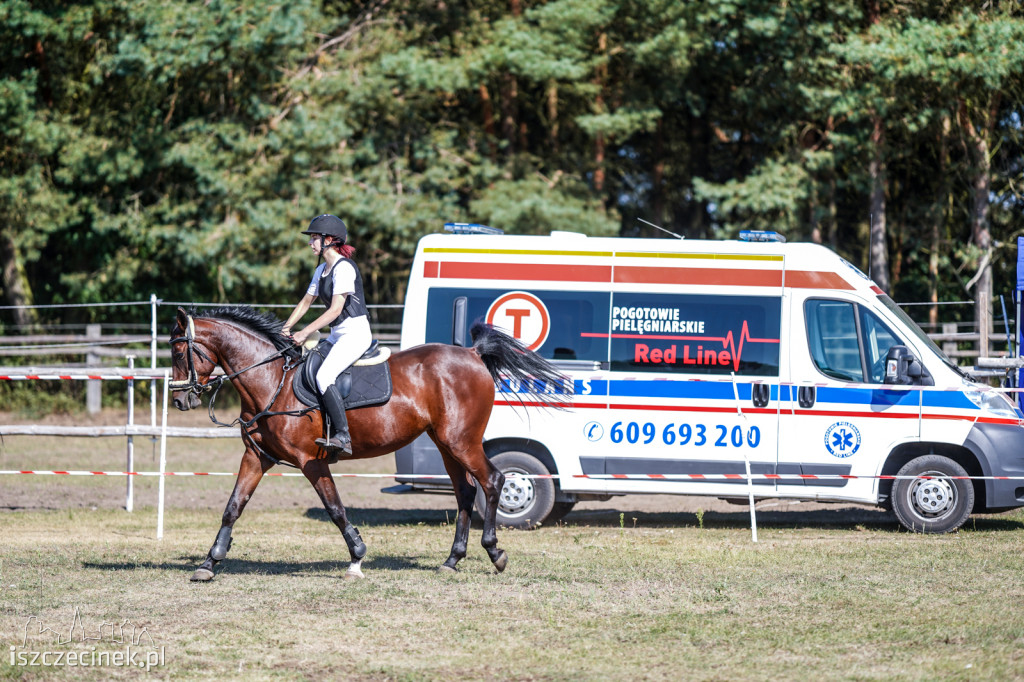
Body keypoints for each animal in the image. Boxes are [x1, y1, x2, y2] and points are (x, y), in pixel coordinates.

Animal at [167, 305, 569, 577]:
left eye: (177, 351)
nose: (180, 400)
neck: (271, 382)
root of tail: (471, 354)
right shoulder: (256, 456)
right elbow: (233, 506)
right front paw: (209, 562)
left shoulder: (310, 461)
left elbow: (335, 508)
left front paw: (357, 555)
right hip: (446, 445)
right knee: (466, 492)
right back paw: (452, 560)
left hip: (461, 442)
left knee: (493, 481)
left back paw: (495, 554)